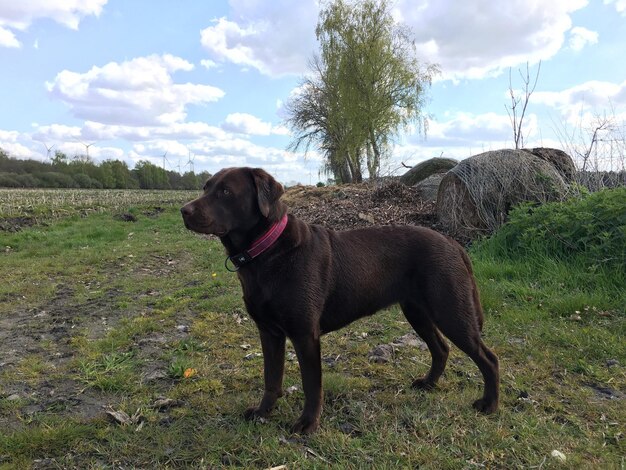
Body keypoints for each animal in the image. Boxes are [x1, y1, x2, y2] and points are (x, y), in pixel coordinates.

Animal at [179, 167, 498, 436]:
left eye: (226, 192)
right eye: (206, 187)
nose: (183, 211)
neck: (266, 251)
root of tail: (453, 243)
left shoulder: (305, 334)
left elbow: (311, 385)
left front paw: (307, 424)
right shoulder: (268, 332)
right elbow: (271, 379)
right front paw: (262, 413)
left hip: (451, 311)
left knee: (488, 358)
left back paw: (489, 405)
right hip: (417, 312)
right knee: (441, 349)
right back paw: (428, 384)